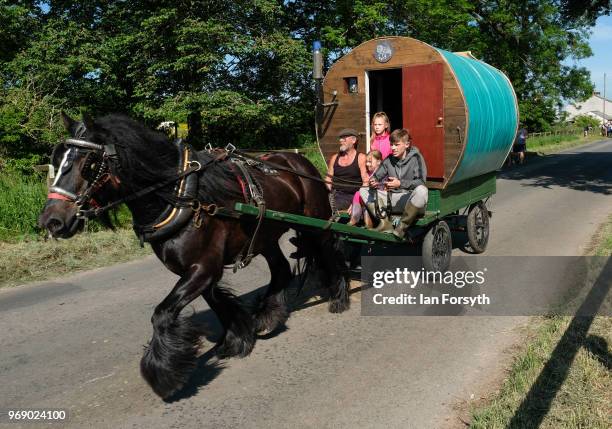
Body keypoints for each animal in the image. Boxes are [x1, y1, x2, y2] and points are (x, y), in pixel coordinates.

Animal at [39, 113, 350, 398]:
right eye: (58, 160)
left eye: (88, 164)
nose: (51, 221)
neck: (182, 196)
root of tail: (298, 161)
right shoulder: (198, 270)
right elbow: (219, 304)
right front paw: (237, 339)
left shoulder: (203, 268)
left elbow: (162, 314)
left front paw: (164, 374)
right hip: (264, 235)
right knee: (282, 269)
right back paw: (269, 317)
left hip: (316, 224)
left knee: (330, 252)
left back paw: (339, 297)